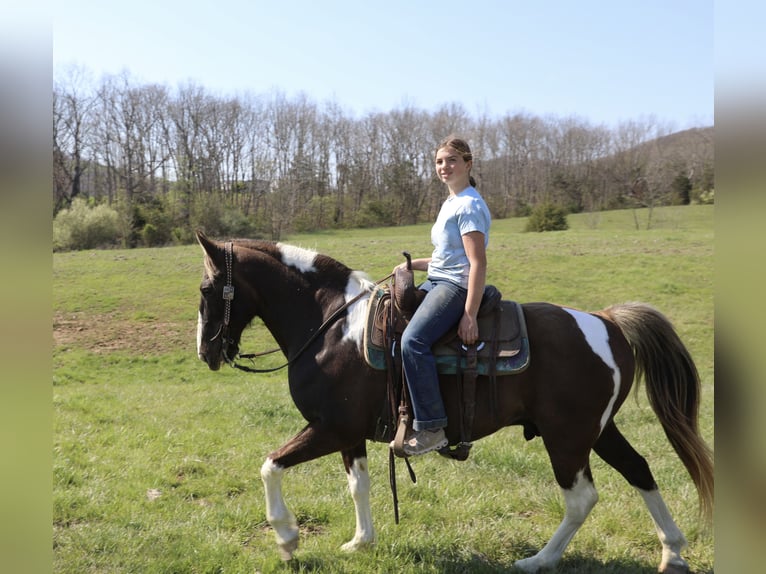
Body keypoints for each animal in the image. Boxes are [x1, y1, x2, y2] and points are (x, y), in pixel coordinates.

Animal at [194, 231, 713, 573]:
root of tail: (605, 321)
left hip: (567, 438)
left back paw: (538, 561)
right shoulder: (348, 433)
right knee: (639, 470)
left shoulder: (329, 428)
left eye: (204, 289)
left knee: (582, 498)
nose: (206, 352)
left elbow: (270, 465)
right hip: (599, 430)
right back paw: (672, 552)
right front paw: (361, 542)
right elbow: (358, 486)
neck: (332, 326)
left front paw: (286, 538)